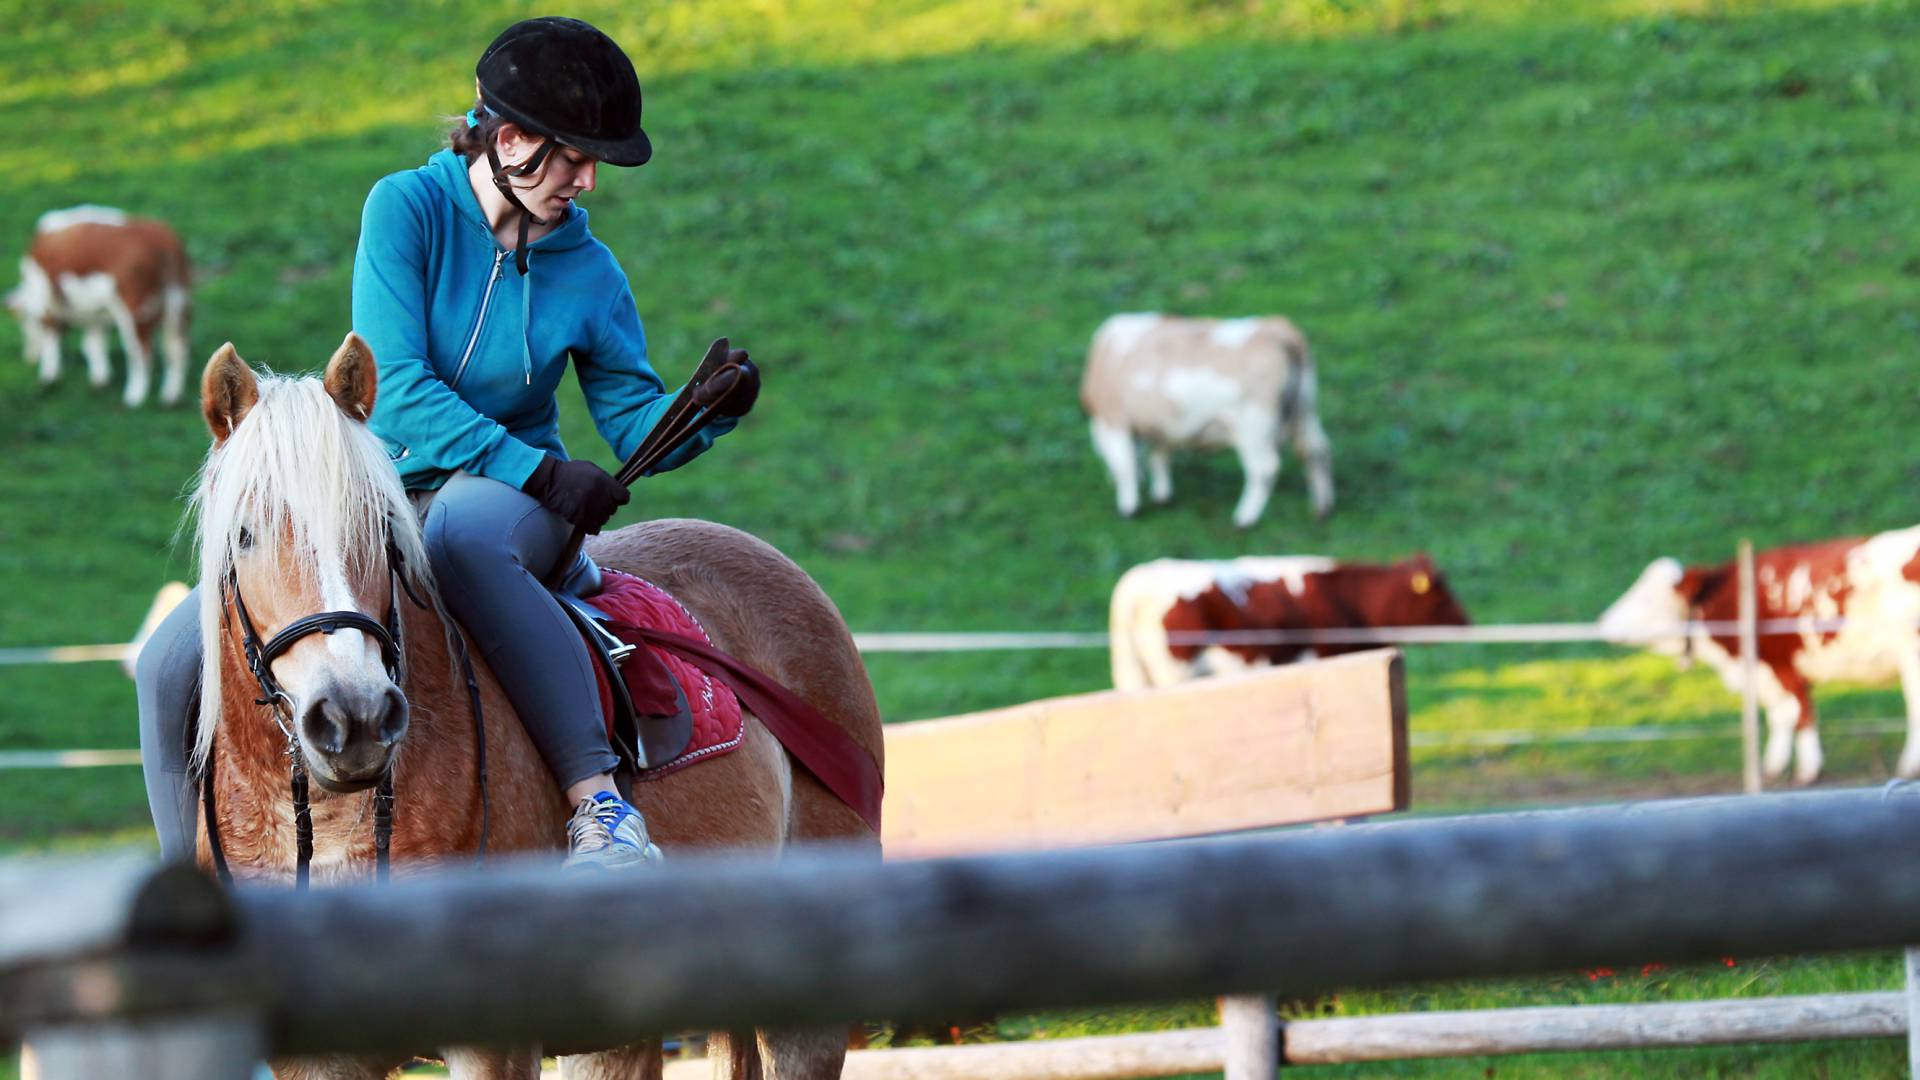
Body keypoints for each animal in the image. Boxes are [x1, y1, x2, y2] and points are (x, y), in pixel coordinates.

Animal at [7, 203, 191, 405]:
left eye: (24, 321)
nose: (28, 357)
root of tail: (162, 236)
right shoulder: (94, 312)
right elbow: (93, 343)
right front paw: (100, 379)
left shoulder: (45, 299)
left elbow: (51, 337)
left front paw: (49, 376)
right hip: (178, 305)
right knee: (177, 348)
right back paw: (171, 396)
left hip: (135, 310)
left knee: (142, 352)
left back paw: (134, 396)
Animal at [1082, 309, 1336, 526]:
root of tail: (1276, 328)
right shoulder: (1160, 423)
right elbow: (1158, 456)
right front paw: (1162, 495)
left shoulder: (1112, 420)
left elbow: (1125, 464)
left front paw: (1128, 507)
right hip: (1305, 412)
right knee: (1317, 452)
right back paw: (1322, 509)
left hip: (1254, 427)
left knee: (1265, 468)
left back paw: (1245, 518)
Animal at [1597, 526, 1920, 787]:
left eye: (1647, 598)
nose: (1603, 622)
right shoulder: (1766, 670)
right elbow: (1780, 714)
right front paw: (1773, 767)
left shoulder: (1781, 664)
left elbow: (1798, 713)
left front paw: (1807, 771)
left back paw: (1908, 766)